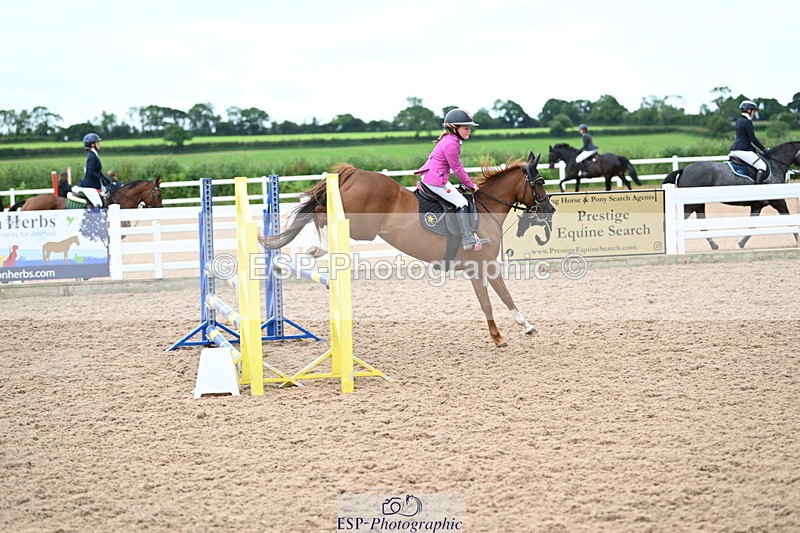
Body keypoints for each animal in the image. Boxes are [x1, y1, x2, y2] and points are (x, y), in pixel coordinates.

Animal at [259, 152, 556, 348]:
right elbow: (503, 296)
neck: (486, 210)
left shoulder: (476, 269)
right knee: (320, 212)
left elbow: (488, 302)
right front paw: (522, 328)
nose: (550, 209)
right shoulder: (487, 265)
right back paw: (315, 248)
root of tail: (354, 172)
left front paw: (502, 335)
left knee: (318, 211)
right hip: (360, 226)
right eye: (540, 182)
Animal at [662, 141, 800, 250]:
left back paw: (714, 245)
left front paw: (740, 244)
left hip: (698, 204)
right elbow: (790, 220)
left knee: (701, 224)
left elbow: (752, 226)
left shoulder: (757, 206)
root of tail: (684, 169)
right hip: (691, 205)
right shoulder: (778, 201)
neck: (775, 165)